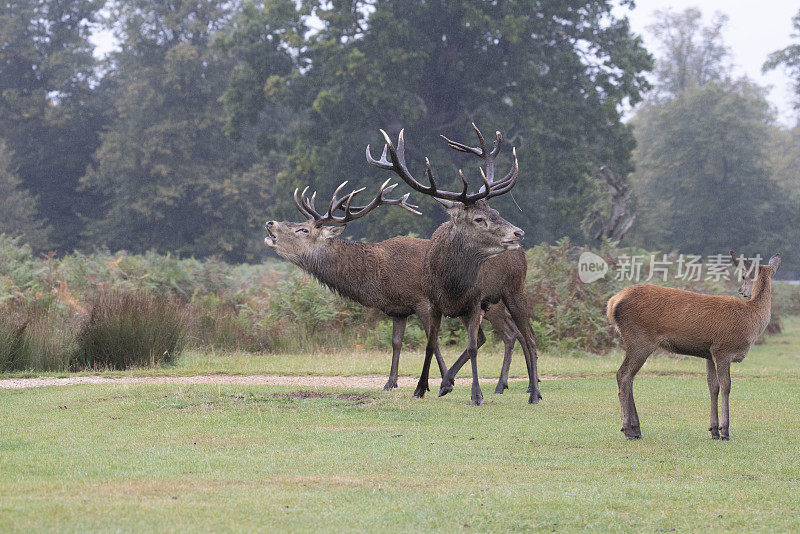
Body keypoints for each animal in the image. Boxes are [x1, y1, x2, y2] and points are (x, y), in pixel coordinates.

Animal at [264, 180, 524, 394]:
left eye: (303, 229)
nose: (270, 222)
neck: (380, 277)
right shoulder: (398, 309)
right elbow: (396, 342)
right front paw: (390, 382)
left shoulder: (422, 301)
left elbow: (432, 340)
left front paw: (443, 382)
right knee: (500, 333)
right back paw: (507, 383)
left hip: (486, 301)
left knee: (505, 333)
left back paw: (498, 384)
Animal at [368, 125, 540, 406]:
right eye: (479, 218)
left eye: (496, 212)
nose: (518, 233)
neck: (450, 282)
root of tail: (522, 254)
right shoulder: (433, 302)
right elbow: (431, 343)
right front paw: (421, 388)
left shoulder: (474, 300)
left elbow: (470, 346)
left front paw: (476, 394)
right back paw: (448, 382)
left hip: (514, 289)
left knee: (529, 337)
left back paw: (534, 392)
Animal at [608, 253, 780, 442]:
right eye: (743, 276)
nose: (742, 291)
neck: (752, 320)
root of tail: (612, 303)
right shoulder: (723, 349)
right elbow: (726, 386)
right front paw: (725, 430)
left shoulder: (710, 353)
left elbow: (713, 386)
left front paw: (714, 430)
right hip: (640, 339)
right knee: (623, 375)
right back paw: (627, 430)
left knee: (630, 377)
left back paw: (636, 428)